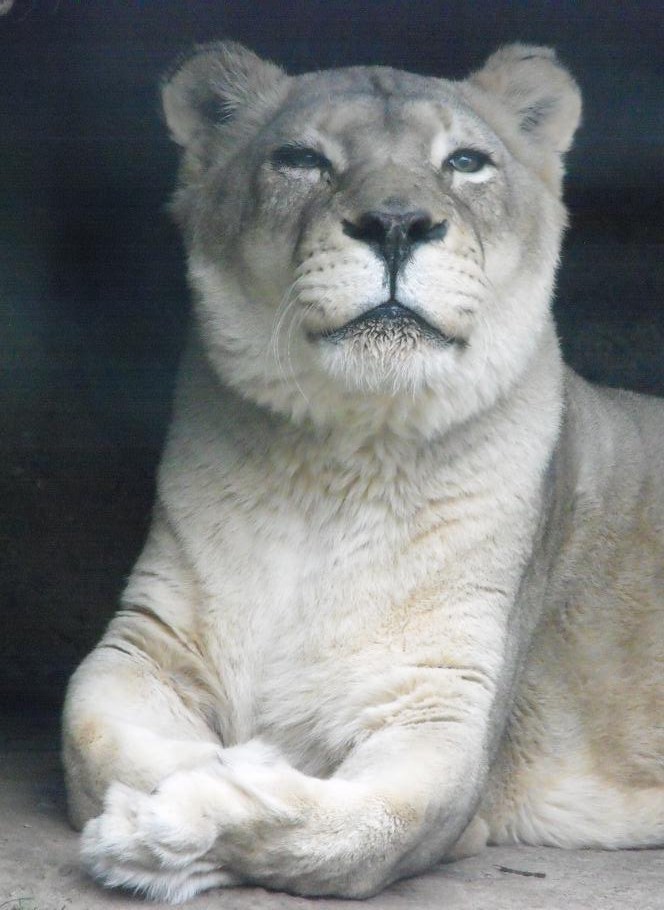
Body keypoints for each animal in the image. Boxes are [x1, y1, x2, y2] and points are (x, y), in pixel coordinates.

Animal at [61, 42, 664, 902]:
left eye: (466, 162)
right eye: (303, 159)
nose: (397, 224)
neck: (341, 460)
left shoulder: (443, 708)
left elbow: (356, 833)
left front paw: (167, 825)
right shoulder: (145, 647)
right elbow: (93, 735)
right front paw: (217, 773)